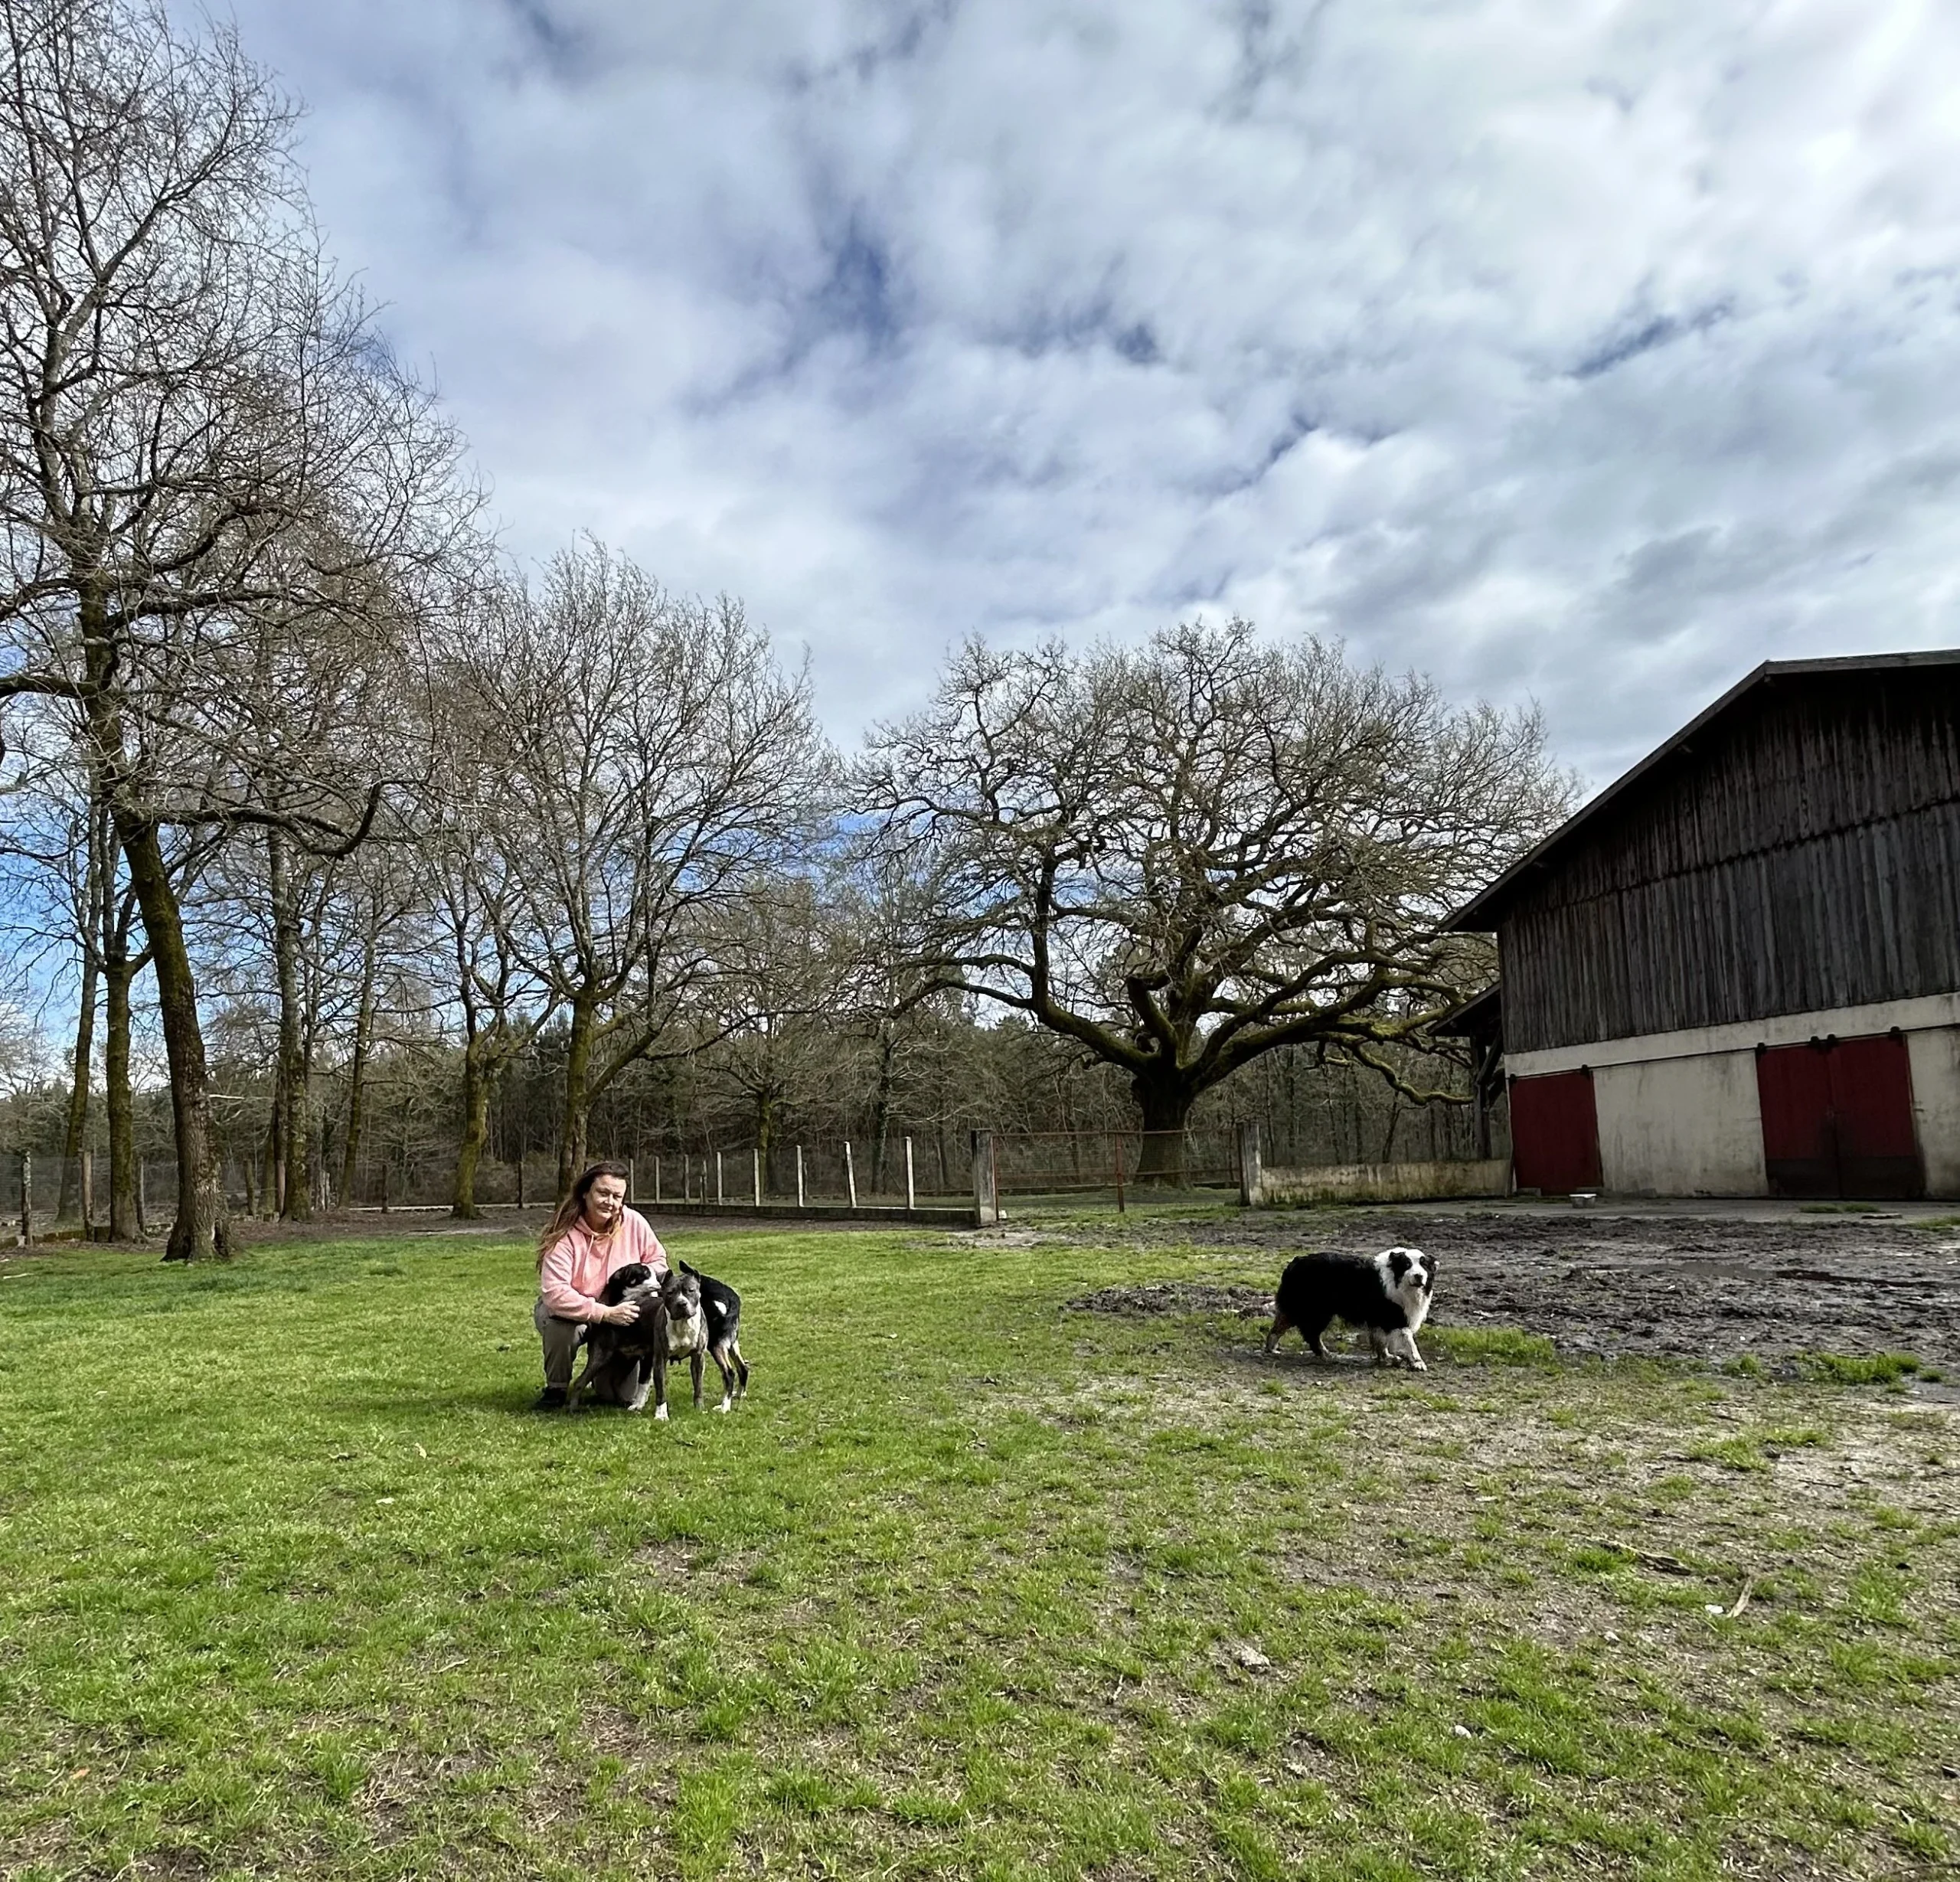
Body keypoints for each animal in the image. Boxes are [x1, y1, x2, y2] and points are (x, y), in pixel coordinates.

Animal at [1262, 1246, 1434, 1364]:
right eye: (1407, 1264)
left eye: (1424, 1265)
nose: (1419, 1276)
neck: (1396, 1278)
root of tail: (1295, 1261)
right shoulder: (1394, 1316)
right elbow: (1408, 1340)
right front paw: (1418, 1362)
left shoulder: (1380, 1319)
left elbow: (1381, 1340)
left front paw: (1387, 1357)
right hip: (1317, 1311)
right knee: (1310, 1333)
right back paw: (1325, 1354)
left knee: (1280, 1326)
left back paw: (1272, 1348)